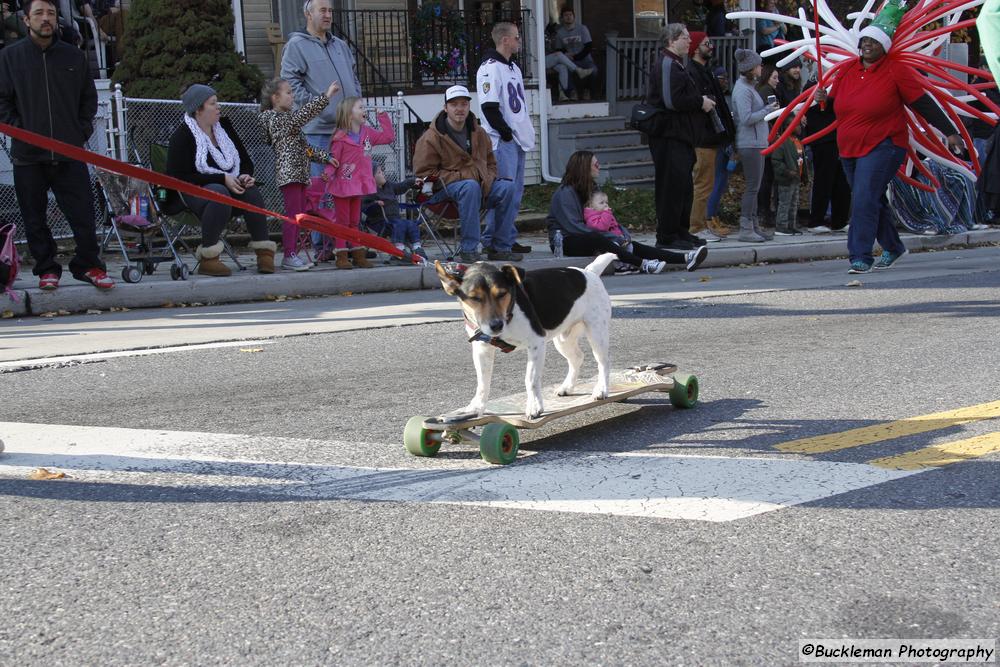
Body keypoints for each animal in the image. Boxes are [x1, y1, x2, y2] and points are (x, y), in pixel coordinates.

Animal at [438, 253, 616, 420]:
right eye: (474, 298)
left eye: (502, 294)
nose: (496, 325)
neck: (509, 313)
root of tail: (589, 272)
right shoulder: (482, 349)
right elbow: (483, 382)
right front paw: (477, 407)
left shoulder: (536, 343)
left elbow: (530, 379)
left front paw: (535, 406)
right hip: (563, 339)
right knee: (577, 358)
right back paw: (567, 387)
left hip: (597, 333)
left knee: (604, 362)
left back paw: (601, 389)